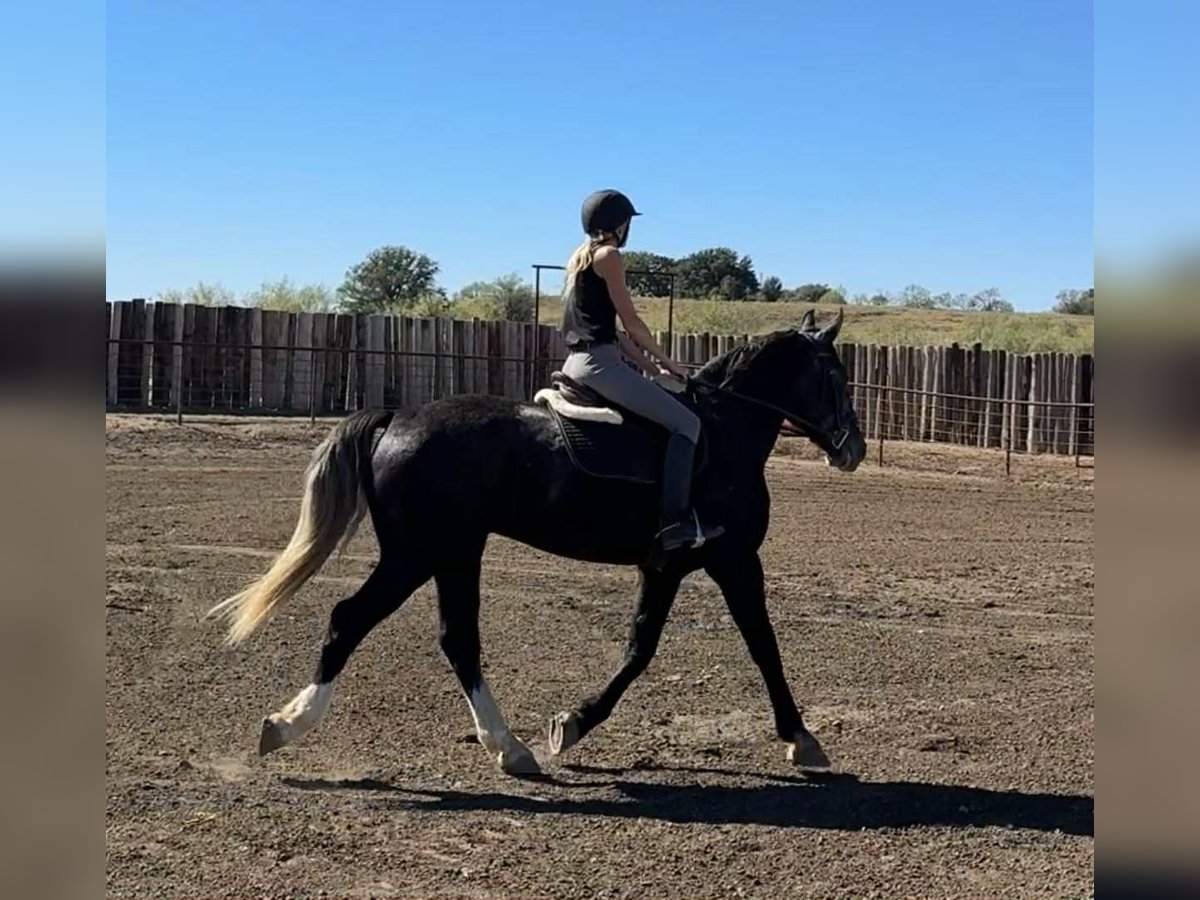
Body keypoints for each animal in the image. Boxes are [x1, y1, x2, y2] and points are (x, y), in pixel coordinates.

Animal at [209, 308, 866, 776]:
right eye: (835, 376)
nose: (854, 449)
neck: (724, 432)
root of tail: (398, 418)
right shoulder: (731, 560)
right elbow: (760, 645)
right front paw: (802, 739)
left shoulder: (667, 568)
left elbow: (641, 649)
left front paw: (571, 724)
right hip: (422, 554)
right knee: (356, 620)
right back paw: (292, 725)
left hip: (448, 555)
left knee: (452, 639)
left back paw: (505, 746)